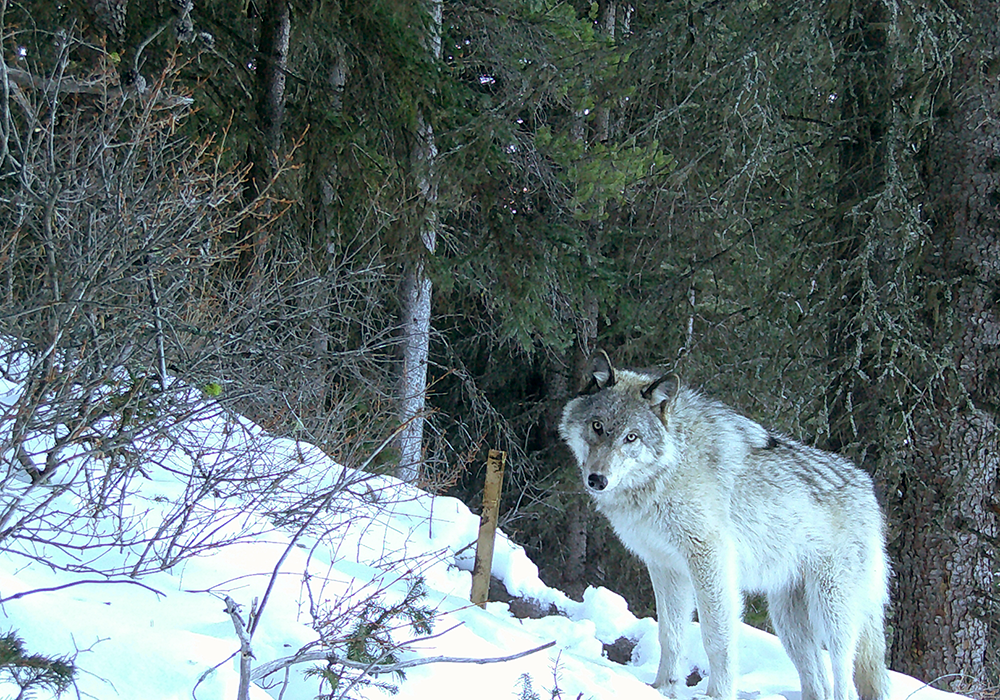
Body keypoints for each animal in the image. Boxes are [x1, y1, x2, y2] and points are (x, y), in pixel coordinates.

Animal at [559, 350, 890, 700]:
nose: (597, 480)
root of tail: (868, 490)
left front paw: (718, 693)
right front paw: (663, 688)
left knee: (844, 676)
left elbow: (716, 638)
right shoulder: (665, 566)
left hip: (832, 612)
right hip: (788, 623)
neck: (670, 466)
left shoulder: (711, 561)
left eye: (631, 437)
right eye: (597, 426)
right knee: (818, 682)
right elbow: (670, 635)